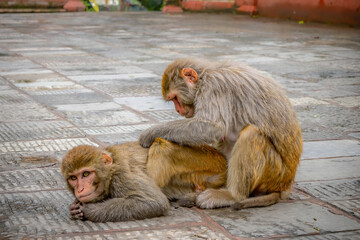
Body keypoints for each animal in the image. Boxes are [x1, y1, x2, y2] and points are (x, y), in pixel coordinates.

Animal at [60, 138, 226, 222]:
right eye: (73, 178)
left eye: (86, 174)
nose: (80, 188)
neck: (111, 170)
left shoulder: (124, 175)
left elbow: (154, 202)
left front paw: (87, 210)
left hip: (202, 163)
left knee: (160, 144)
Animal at [139, 58, 302, 210]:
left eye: (175, 98)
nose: (178, 110)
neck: (204, 76)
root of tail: (286, 185)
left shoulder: (214, 87)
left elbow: (211, 126)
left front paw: (149, 134)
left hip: (275, 173)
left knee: (251, 134)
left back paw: (232, 196)